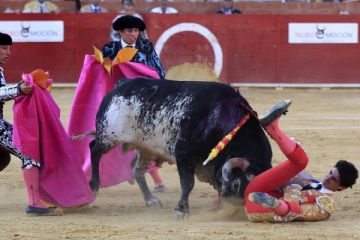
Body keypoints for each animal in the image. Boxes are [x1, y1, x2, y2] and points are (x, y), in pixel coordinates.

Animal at [88, 78, 272, 218]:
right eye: (236, 185)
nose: (232, 210)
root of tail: (121, 84)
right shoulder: (183, 153)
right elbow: (187, 183)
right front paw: (182, 210)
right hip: (109, 135)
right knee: (94, 150)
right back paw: (94, 186)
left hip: (146, 148)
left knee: (136, 169)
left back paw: (151, 199)